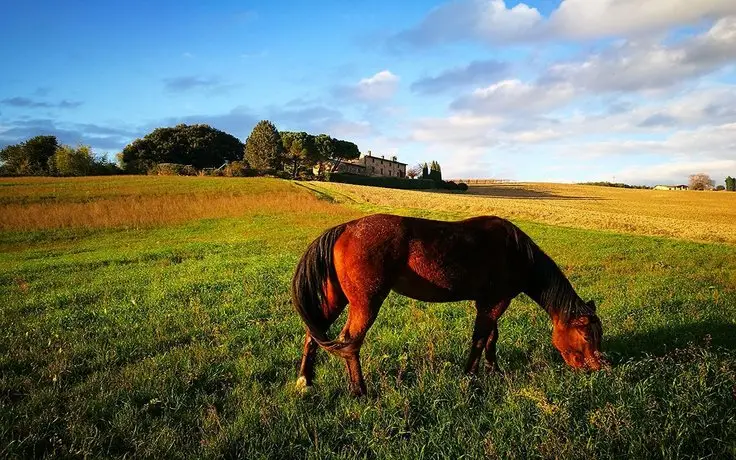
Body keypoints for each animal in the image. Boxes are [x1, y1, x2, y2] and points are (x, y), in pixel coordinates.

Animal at [290, 212, 608, 396]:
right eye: (586, 335)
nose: (599, 368)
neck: (517, 252)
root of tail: (347, 227)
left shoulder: (489, 302)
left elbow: (491, 338)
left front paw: (494, 370)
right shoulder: (494, 302)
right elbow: (480, 339)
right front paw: (470, 376)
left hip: (336, 299)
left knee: (313, 334)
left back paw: (305, 381)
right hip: (366, 303)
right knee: (350, 341)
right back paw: (359, 391)